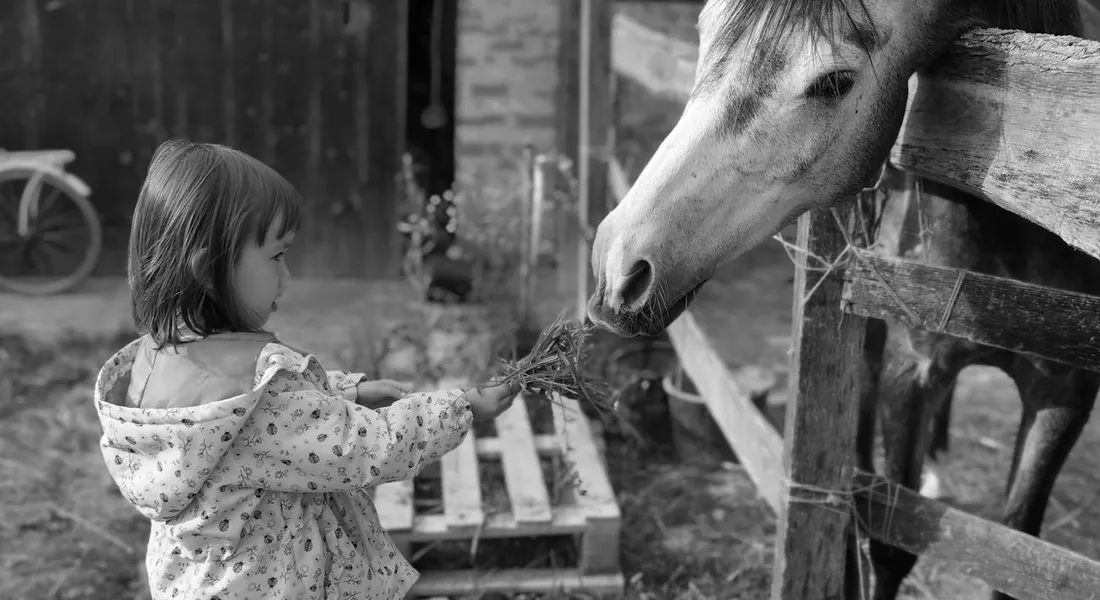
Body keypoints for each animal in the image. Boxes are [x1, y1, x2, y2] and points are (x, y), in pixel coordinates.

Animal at [586, 1, 1100, 599]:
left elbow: (1017, 551)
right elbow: (892, 545)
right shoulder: (911, 371)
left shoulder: (1064, 394)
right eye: (705, 26)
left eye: (834, 82)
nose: (618, 267)